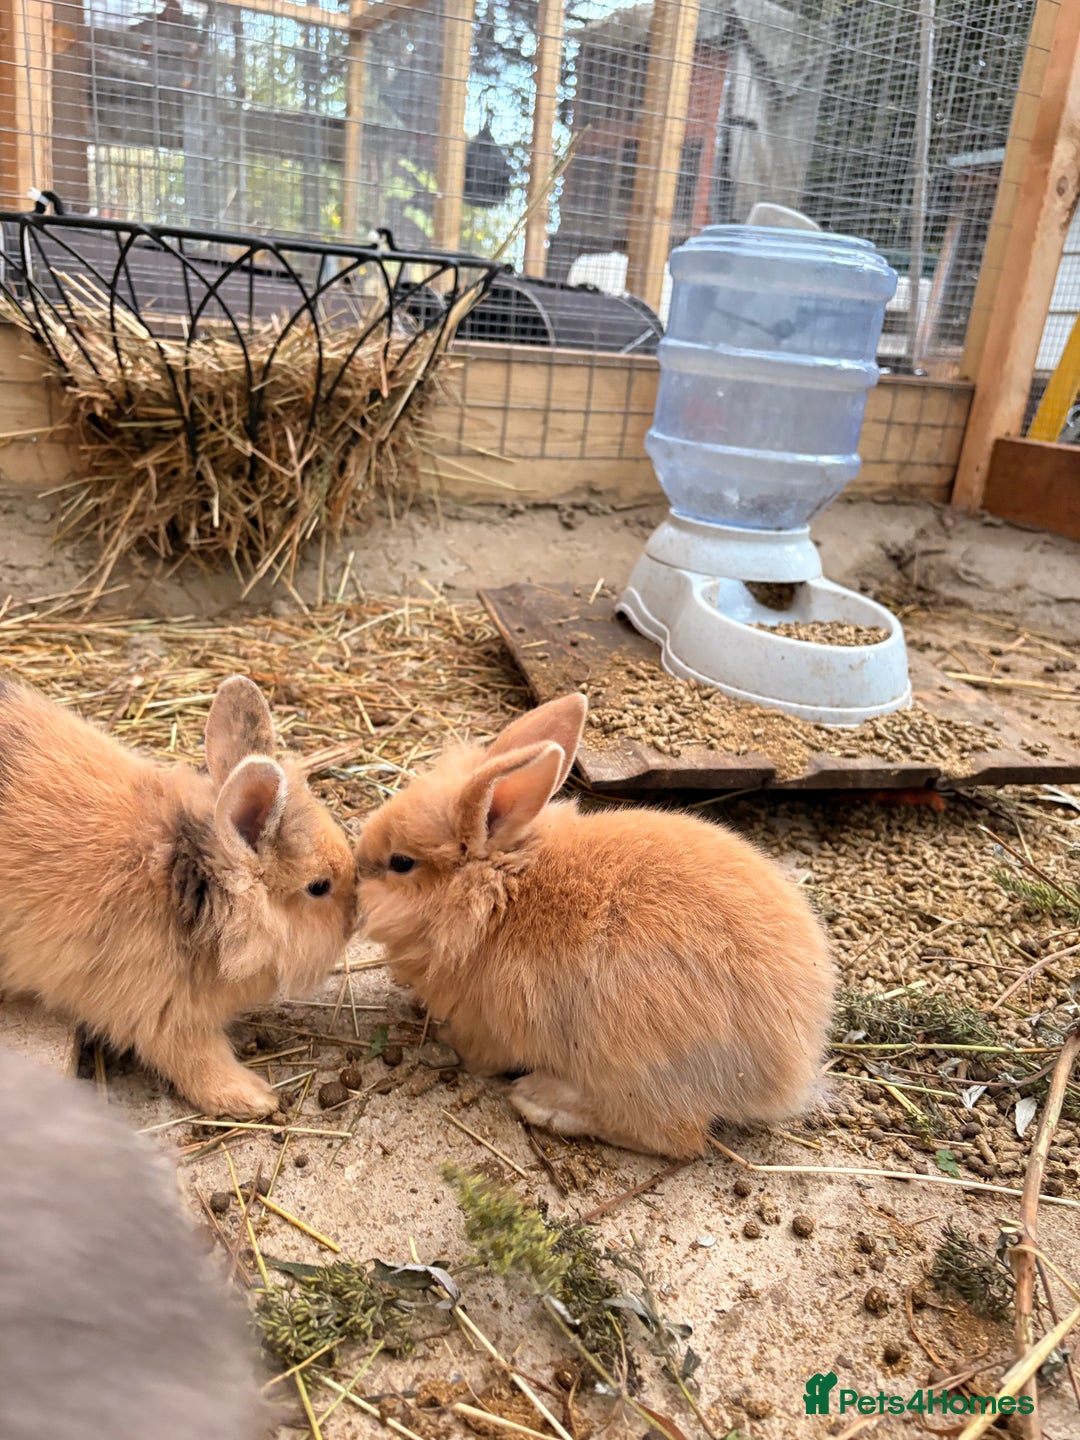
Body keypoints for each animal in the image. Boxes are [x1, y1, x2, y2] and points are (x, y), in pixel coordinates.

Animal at [354, 693, 836, 1158]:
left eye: (401, 863)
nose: (356, 872)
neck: (501, 896)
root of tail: (788, 1074)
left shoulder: (491, 1024)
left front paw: (447, 1041)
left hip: (630, 1058)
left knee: (674, 1138)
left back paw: (540, 1102)